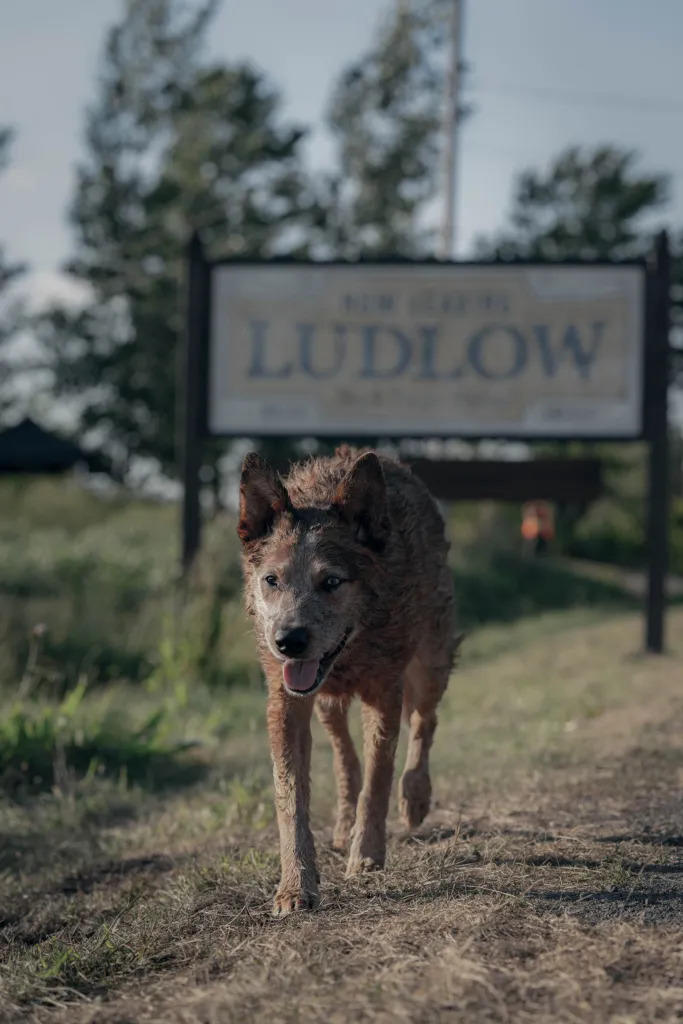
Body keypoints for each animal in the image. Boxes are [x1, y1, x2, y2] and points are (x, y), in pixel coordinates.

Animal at [237, 444, 456, 917]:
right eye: (271, 580)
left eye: (332, 581)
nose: (288, 641)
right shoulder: (286, 702)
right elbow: (291, 799)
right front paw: (295, 886)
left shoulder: (385, 692)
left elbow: (378, 779)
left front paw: (367, 855)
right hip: (327, 704)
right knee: (344, 758)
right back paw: (342, 824)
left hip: (430, 662)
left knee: (425, 722)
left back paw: (414, 797)